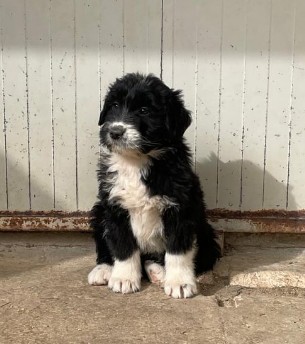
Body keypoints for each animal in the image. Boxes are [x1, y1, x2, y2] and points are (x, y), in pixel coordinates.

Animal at [86, 73, 220, 298]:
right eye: (114, 105)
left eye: (144, 110)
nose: (115, 131)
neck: (136, 161)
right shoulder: (115, 208)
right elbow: (123, 246)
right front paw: (123, 278)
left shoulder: (180, 209)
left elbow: (178, 250)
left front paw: (179, 283)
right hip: (98, 212)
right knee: (107, 247)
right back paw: (104, 270)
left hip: (207, 235)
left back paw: (158, 272)